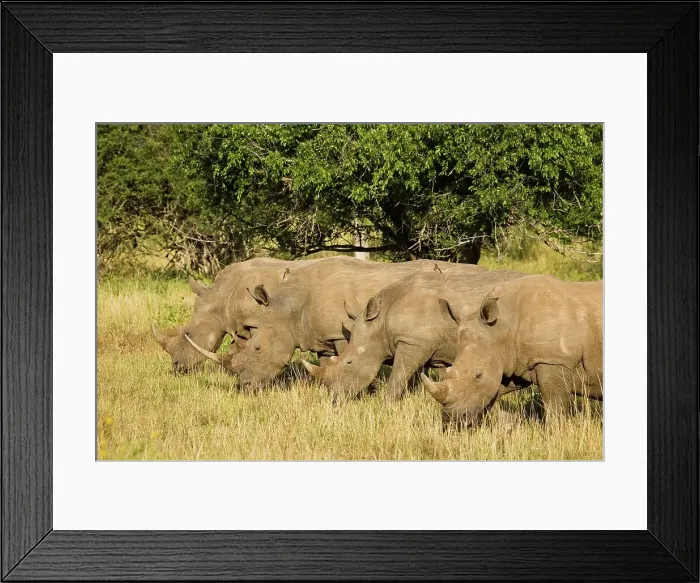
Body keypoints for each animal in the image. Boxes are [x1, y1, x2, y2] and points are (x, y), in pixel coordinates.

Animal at [185, 256, 484, 389]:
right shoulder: (322, 338)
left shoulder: (340, 334)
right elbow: (326, 364)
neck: (290, 308)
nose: (244, 387)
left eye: (257, 349)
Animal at [303, 268, 525, 403]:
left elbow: (399, 375)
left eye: (349, 363)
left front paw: (386, 404)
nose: (334, 399)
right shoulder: (439, 351)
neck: (380, 322)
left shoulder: (412, 343)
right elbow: (445, 377)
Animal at [422, 274, 603, 428]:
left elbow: (555, 408)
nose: (451, 420)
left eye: (478, 375)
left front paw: (557, 435)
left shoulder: (554, 360)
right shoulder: (512, 361)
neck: (503, 327)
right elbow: (492, 395)